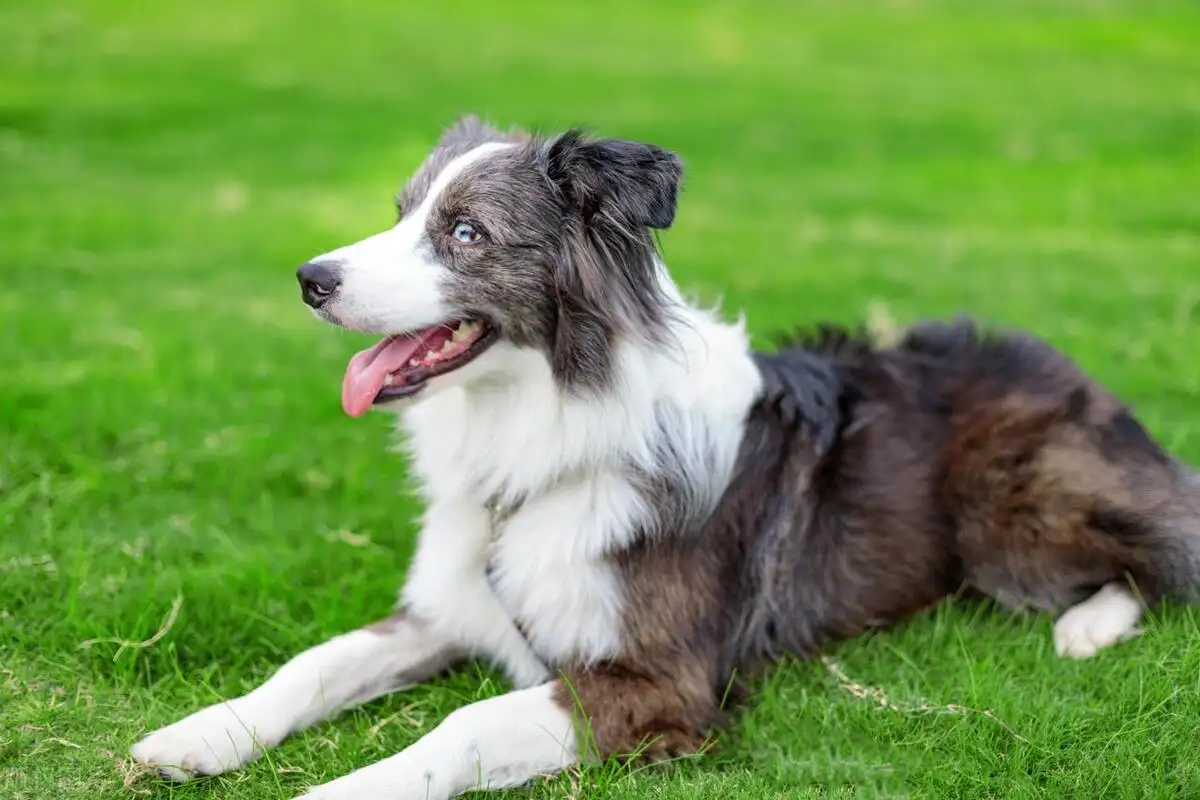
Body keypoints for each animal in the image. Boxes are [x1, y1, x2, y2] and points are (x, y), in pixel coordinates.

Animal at [126, 115, 1195, 796]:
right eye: (401, 213)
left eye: (464, 232)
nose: (310, 279)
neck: (535, 438)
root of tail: (1065, 365)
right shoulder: (451, 607)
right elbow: (313, 663)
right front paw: (201, 734)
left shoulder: (657, 681)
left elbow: (459, 727)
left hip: (1013, 512)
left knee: (1169, 552)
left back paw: (1087, 627)